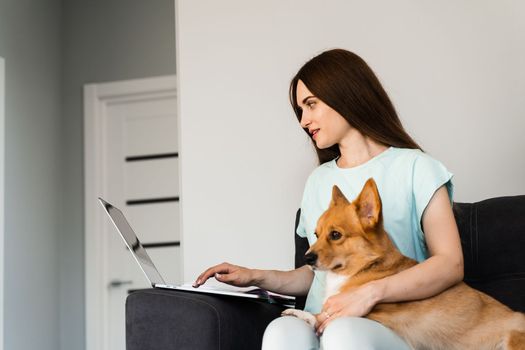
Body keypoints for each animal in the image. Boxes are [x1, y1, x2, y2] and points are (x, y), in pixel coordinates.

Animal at [282, 179, 524, 348]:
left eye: (335, 235)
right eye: (316, 234)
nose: (307, 258)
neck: (363, 266)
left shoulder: (372, 312)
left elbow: (324, 316)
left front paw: (307, 316)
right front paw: (302, 314)